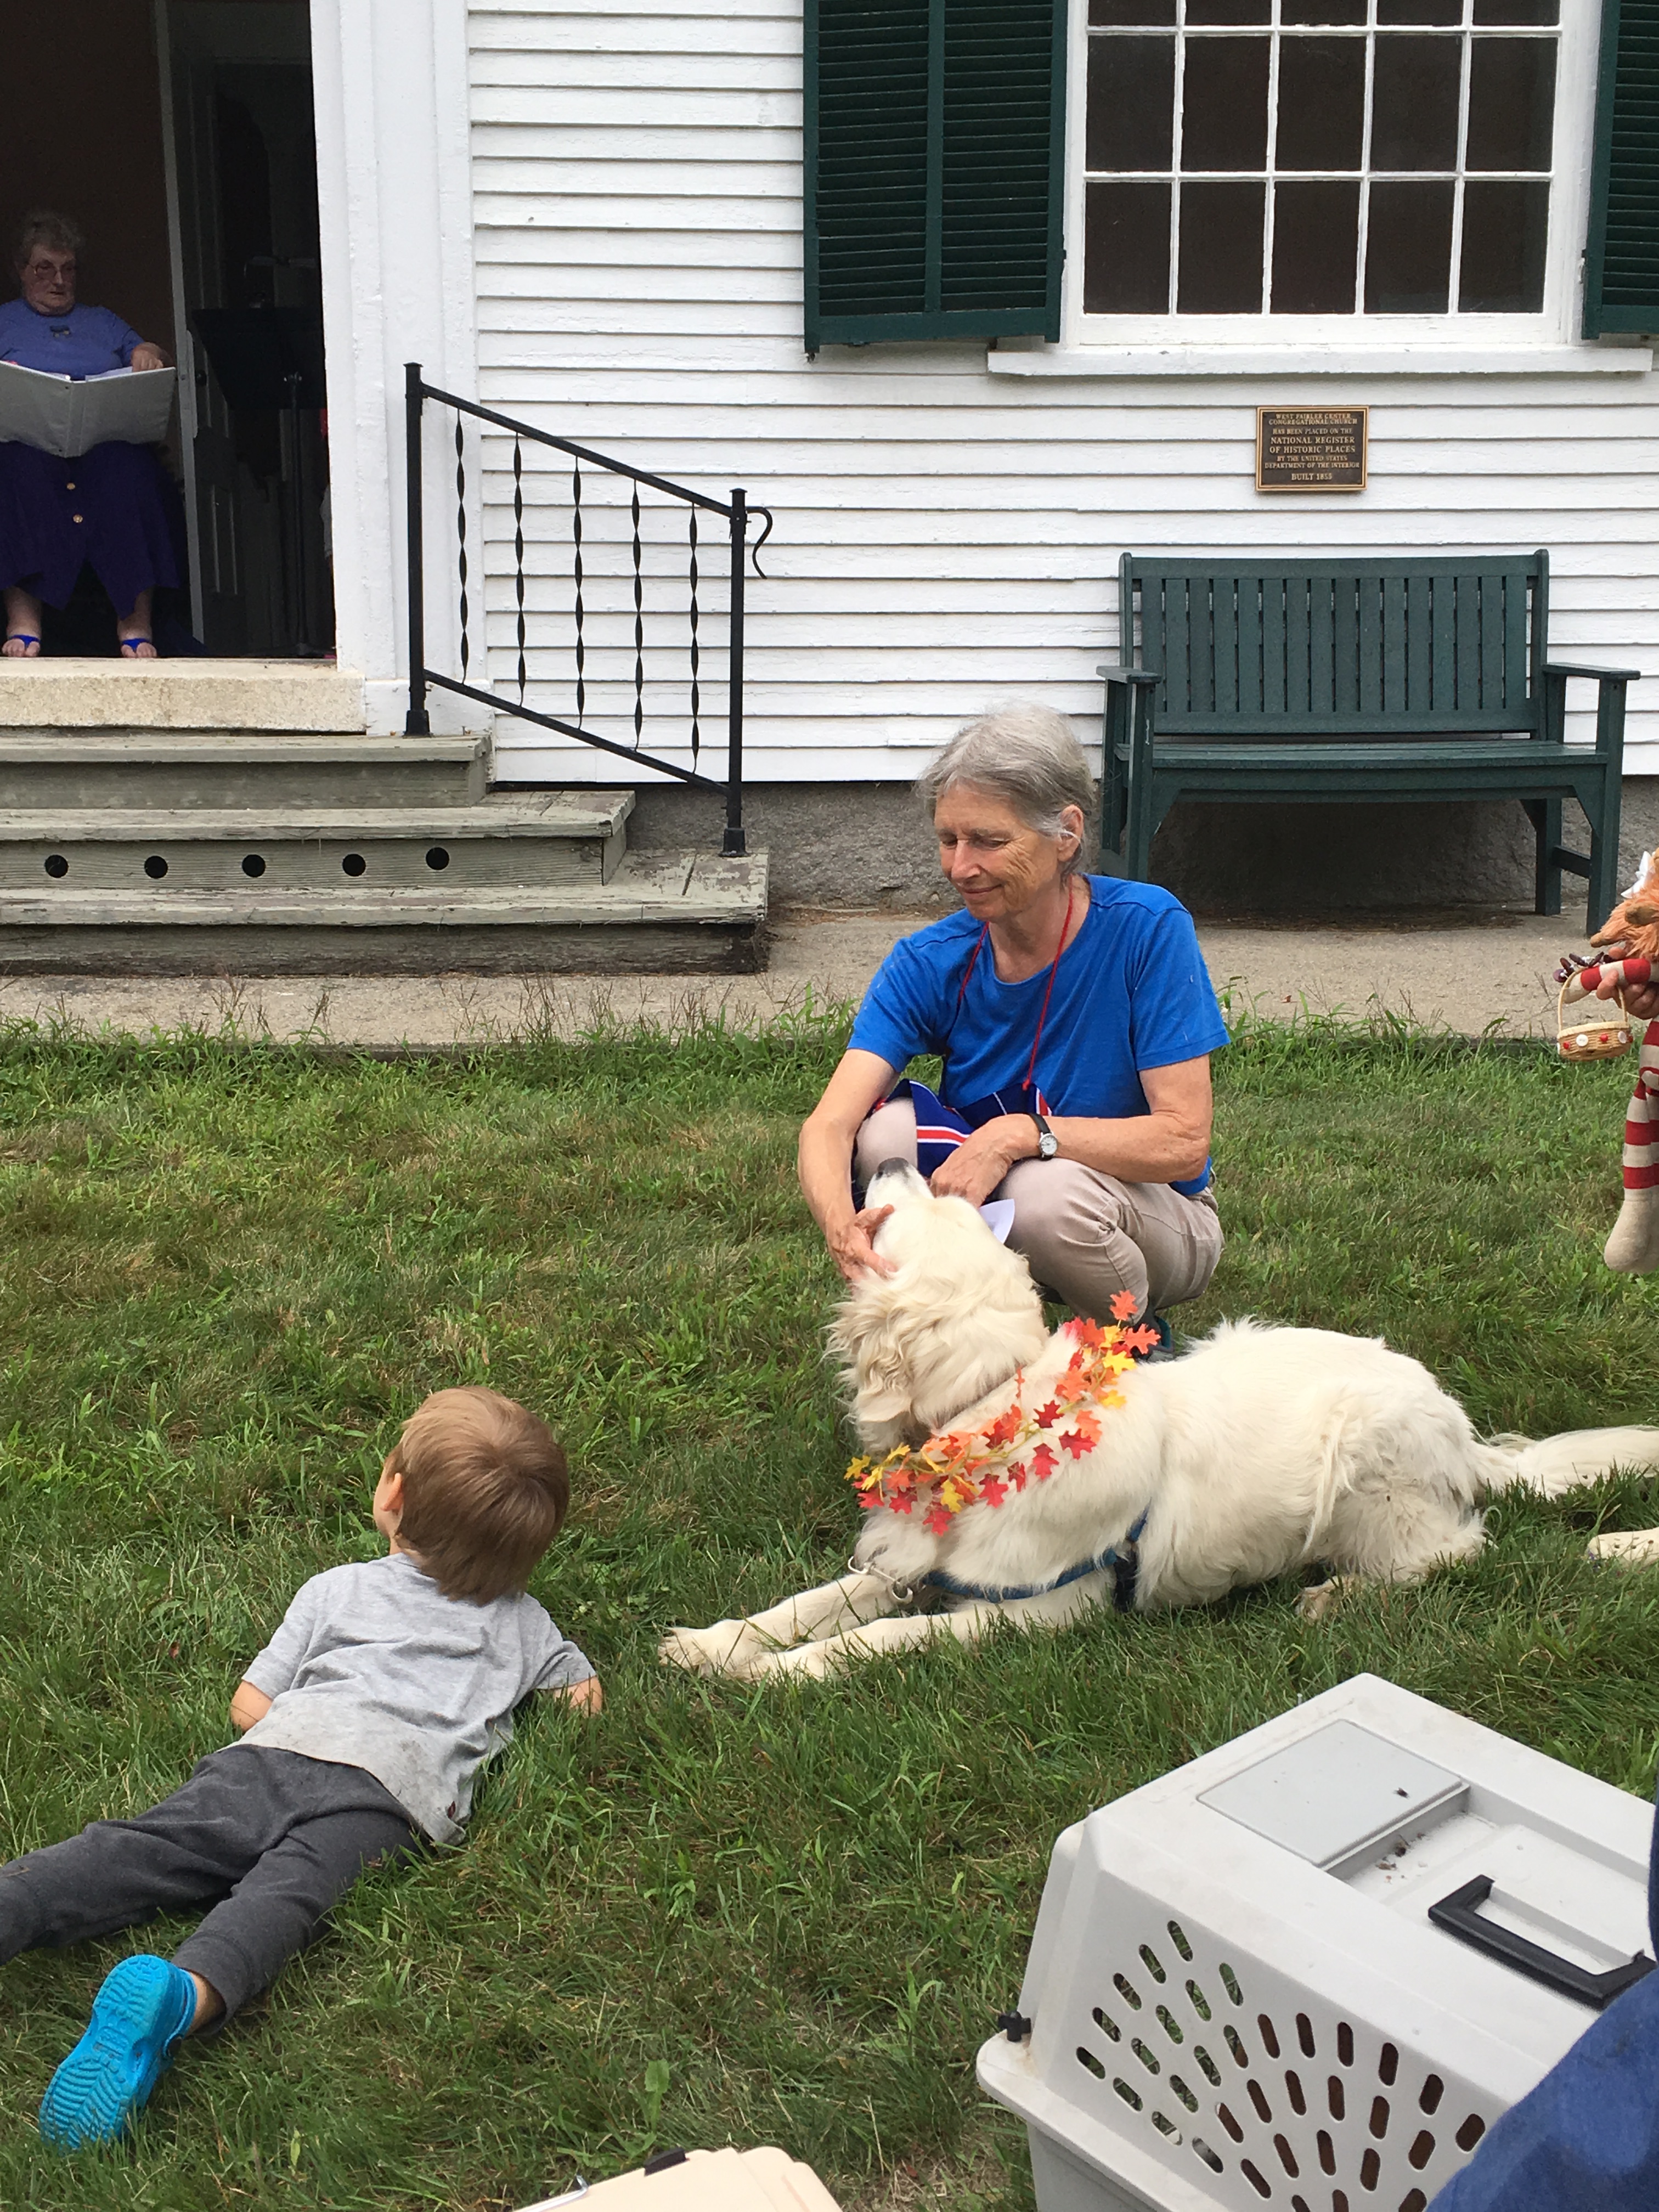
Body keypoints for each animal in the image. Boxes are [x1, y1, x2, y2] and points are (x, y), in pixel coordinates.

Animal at [663, 1159, 1659, 1672]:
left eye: (926, 1203)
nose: (896, 1157)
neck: (994, 1409)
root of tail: (1455, 1424)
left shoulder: (1039, 1613)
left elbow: (882, 1636)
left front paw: (781, 1675)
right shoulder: (904, 1560)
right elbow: (812, 1601)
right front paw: (712, 1645)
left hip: (1364, 1461)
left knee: (1453, 1554)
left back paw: (1334, 1596)